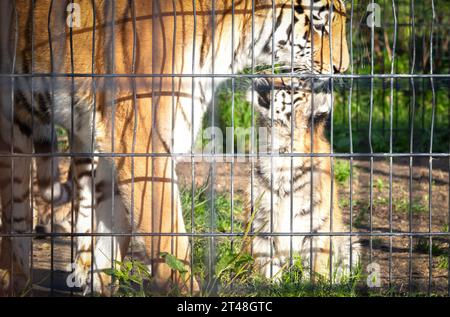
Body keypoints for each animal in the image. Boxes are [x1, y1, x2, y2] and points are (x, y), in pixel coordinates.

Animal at [244, 77, 360, 282]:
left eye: (287, 86)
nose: (261, 76)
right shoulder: (261, 220)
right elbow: (267, 263)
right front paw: (270, 283)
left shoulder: (317, 224)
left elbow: (313, 267)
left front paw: (310, 285)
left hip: (350, 241)